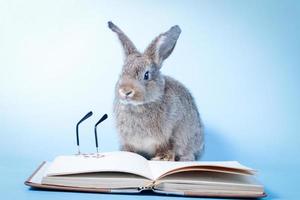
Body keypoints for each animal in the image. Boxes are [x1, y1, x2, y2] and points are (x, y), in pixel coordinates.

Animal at [109, 21, 205, 161]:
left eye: (146, 75)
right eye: (121, 73)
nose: (125, 91)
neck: (138, 106)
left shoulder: (171, 133)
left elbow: (169, 147)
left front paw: (162, 158)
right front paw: (126, 154)